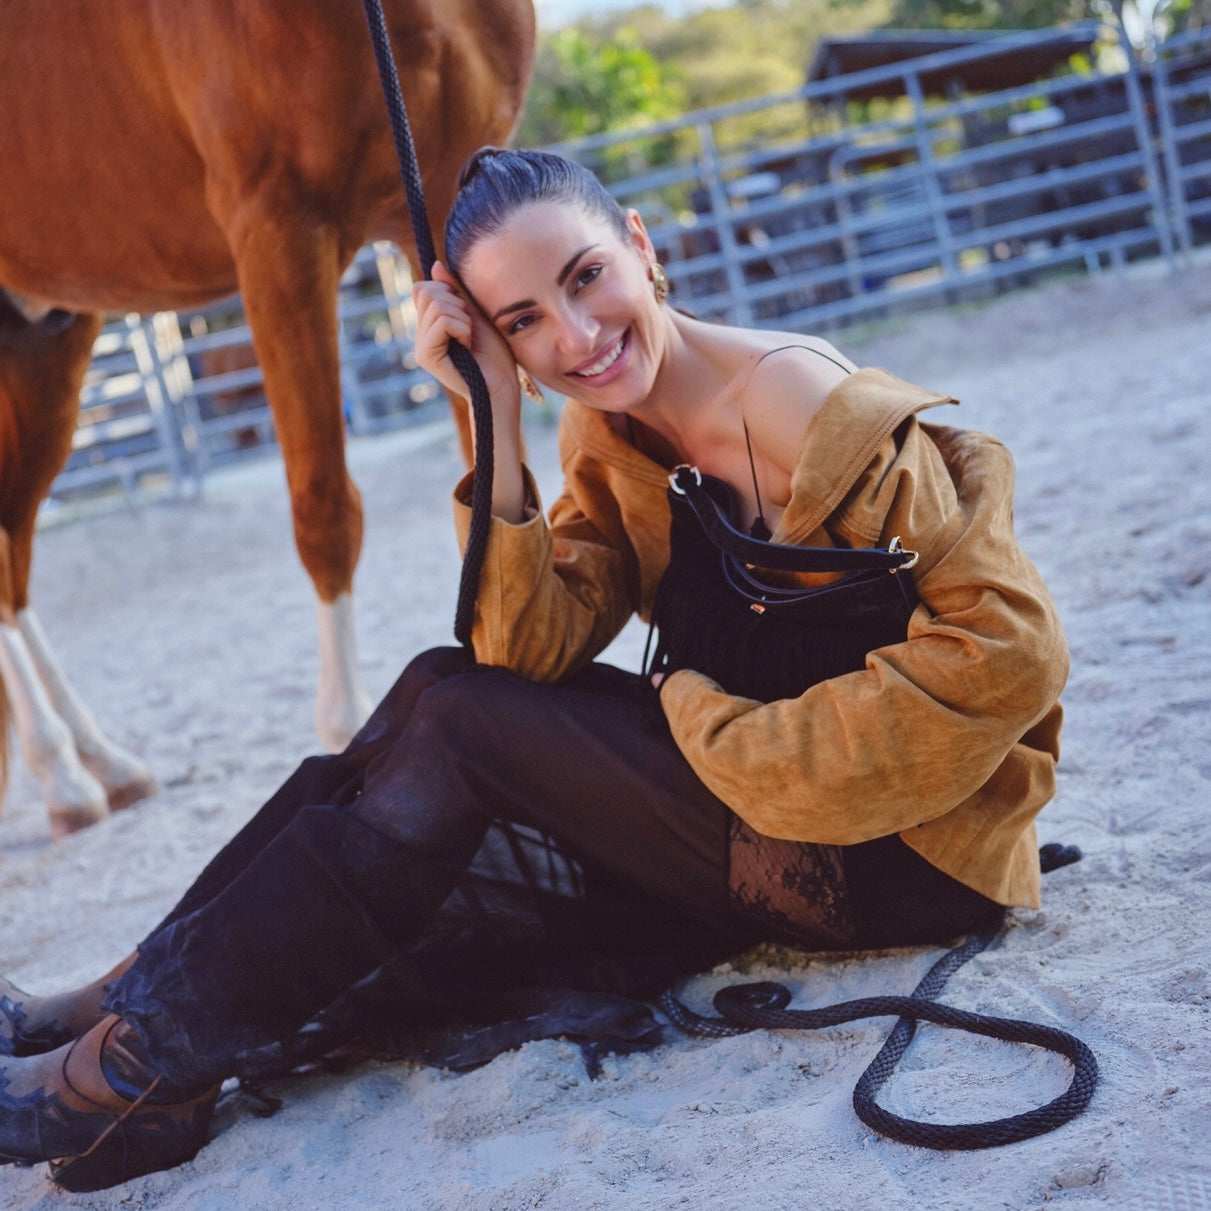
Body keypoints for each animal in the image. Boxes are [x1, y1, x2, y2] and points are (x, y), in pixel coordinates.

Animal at [0, 0, 535, 833]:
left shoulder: (446, 195)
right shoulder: (278, 227)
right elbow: (326, 508)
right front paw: (350, 727)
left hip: (45, 344)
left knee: (12, 554)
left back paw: (98, 767)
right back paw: (64, 773)